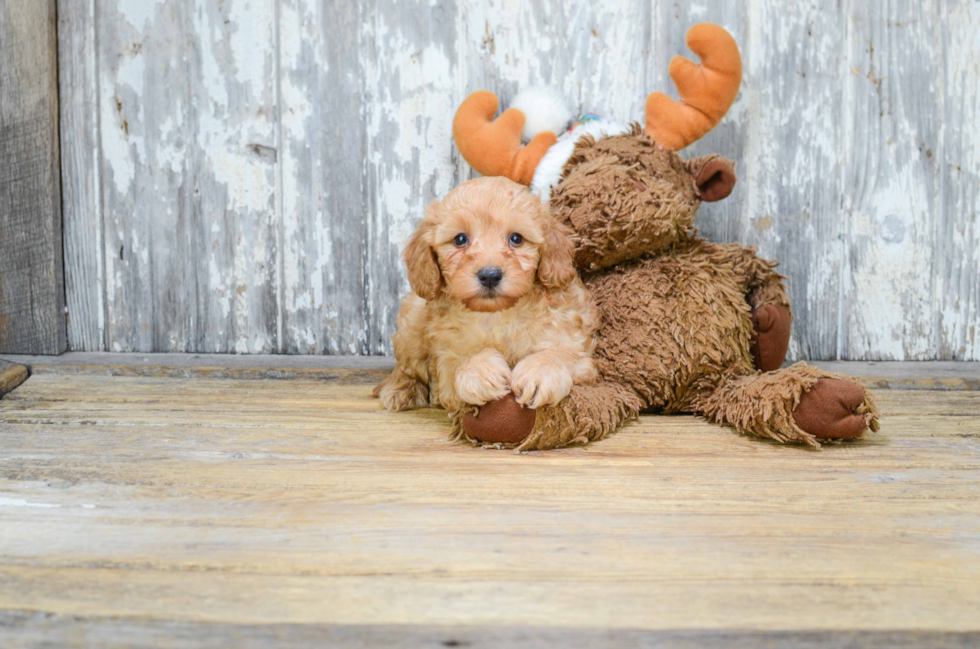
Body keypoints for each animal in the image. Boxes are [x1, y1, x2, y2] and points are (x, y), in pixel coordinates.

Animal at [374, 176, 596, 410]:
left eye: (516, 239)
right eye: (460, 239)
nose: (490, 275)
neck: (497, 314)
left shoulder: (572, 340)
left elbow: (563, 352)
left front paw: (541, 370)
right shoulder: (444, 362)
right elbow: (457, 365)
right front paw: (479, 370)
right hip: (412, 324)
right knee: (407, 366)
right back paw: (402, 389)